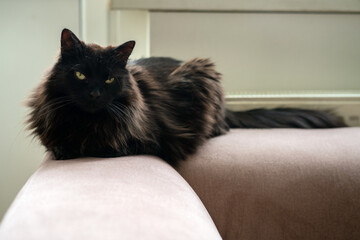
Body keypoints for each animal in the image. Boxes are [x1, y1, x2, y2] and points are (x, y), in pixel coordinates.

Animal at [26, 29, 346, 166]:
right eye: (80, 75)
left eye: (109, 79)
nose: (94, 93)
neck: (86, 122)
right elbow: (59, 144)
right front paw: (66, 148)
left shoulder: (152, 140)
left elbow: (107, 146)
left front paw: (84, 146)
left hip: (201, 71)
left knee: (221, 128)